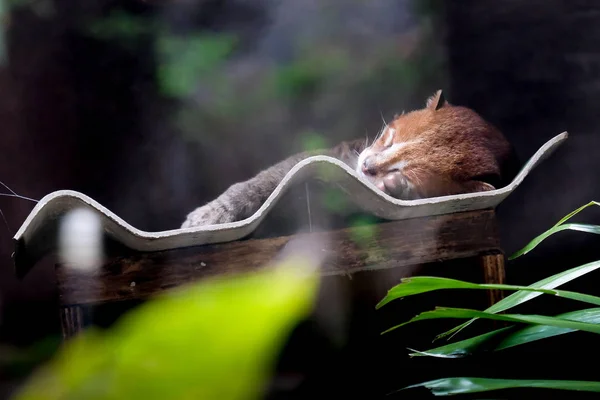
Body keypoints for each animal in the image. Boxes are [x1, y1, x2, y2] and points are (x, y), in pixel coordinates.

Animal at [180, 90, 516, 228]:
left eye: (405, 172)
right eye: (390, 138)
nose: (366, 167)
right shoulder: (327, 154)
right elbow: (262, 182)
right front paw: (209, 214)